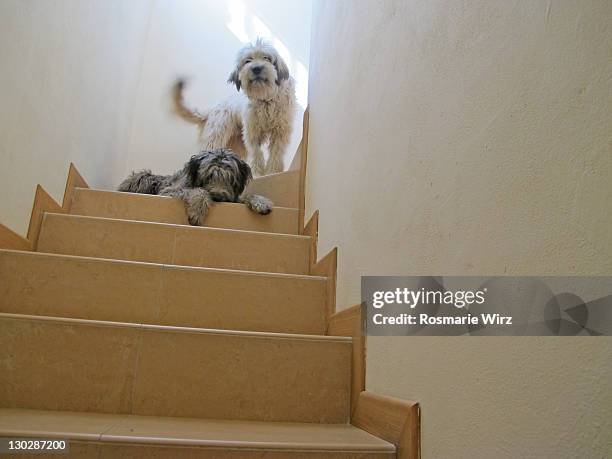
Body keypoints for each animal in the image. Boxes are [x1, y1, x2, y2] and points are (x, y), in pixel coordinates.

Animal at [118, 148, 272, 226]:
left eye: (229, 178)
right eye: (209, 176)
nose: (218, 197)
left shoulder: (233, 200)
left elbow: (246, 196)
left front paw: (261, 202)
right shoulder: (169, 191)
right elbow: (198, 190)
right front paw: (197, 210)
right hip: (145, 177)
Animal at [172, 40, 296, 176]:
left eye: (267, 58)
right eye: (248, 60)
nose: (256, 68)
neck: (265, 97)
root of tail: (212, 109)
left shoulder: (280, 131)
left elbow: (276, 153)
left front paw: (272, 171)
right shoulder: (252, 132)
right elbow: (256, 153)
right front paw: (258, 173)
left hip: (236, 144)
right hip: (216, 135)